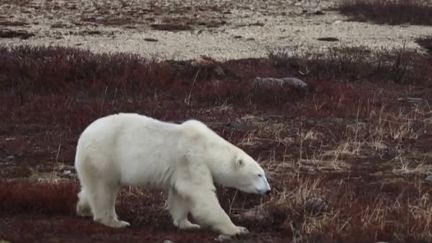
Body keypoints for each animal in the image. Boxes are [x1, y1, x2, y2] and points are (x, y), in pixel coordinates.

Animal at [74, 113, 270, 235]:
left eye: (264, 174)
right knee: (104, 190)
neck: (206, 146)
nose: (268, 190)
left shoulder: (182, 169)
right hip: (105, 156)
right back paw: (115, 222)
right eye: (259, 175)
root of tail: (82, 137)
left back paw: (83, 208)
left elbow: (181, 195)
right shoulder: (191, 159)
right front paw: (237, 229)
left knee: (92, 188)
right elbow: (202, 195)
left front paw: (188, 224)